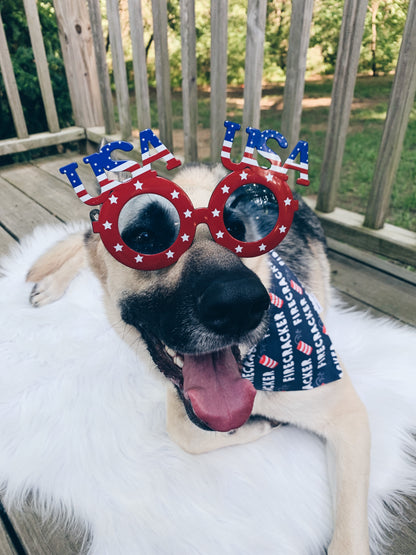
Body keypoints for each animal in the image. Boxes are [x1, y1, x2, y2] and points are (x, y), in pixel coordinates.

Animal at [26, 156, 370, 555]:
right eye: (145, 238)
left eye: (238, 231)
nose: (239, 305)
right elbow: (183, 431)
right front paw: (258, 424)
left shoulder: (348, 417)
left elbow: (349, 539)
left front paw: (257, 423)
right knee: (84, 246)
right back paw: (50, 284)